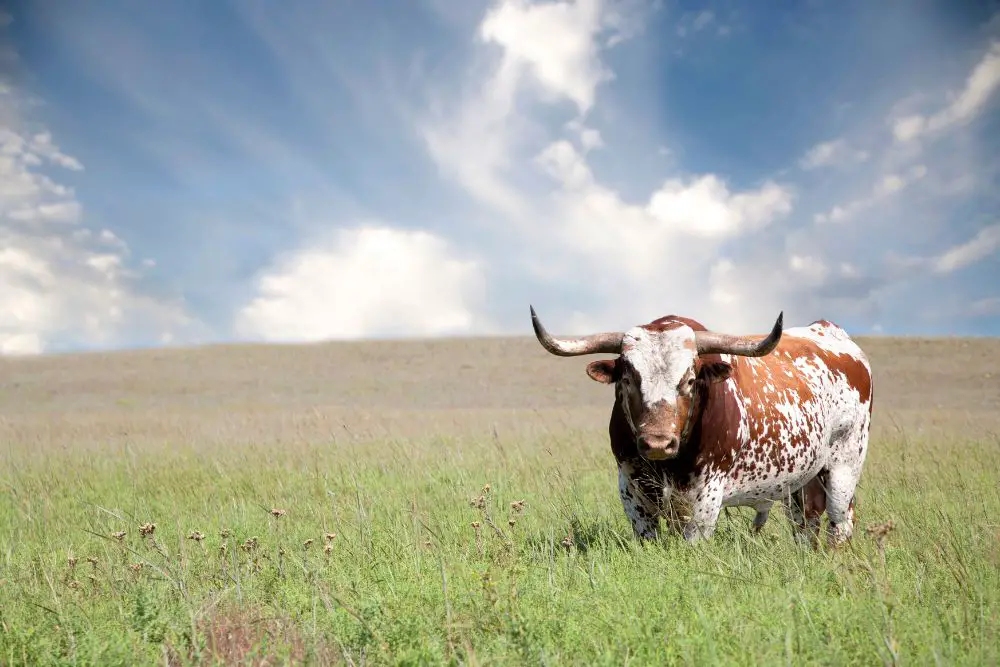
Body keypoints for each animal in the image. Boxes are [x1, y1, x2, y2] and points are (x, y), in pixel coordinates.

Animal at [528, 308, 872, 548]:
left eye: (690, 380)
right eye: (627, 379)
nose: (657, 443)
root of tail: (830, 330)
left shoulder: (706, 499)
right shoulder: (632, 492)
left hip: (845, 466)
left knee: (840, 522)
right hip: (802, 481)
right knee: (806, 522)